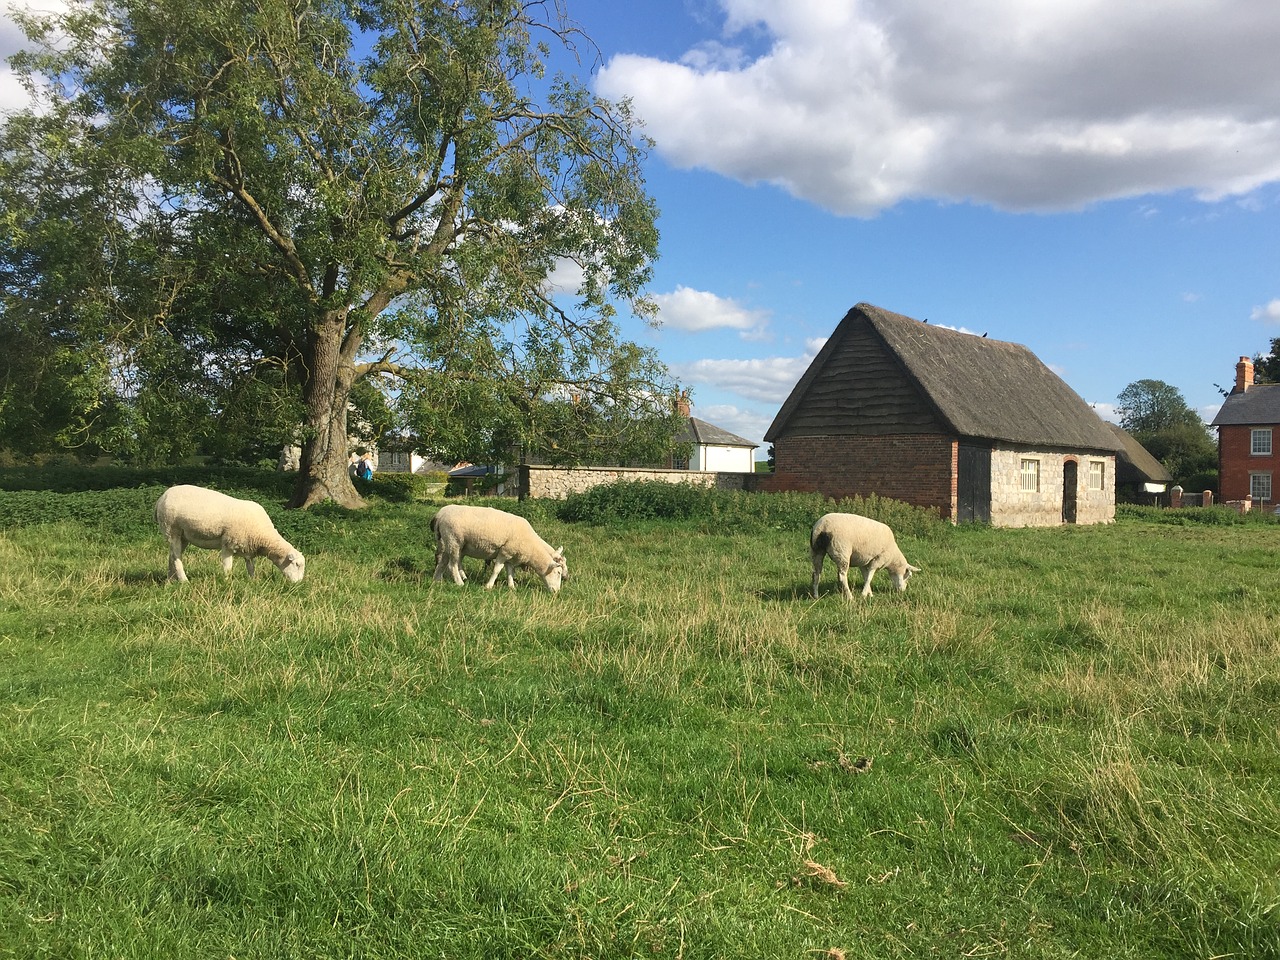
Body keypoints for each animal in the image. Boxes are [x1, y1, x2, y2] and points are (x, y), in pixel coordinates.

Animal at [152, 483, 304, 583]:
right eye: (297, 565)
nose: (298, 585)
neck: (264, 536)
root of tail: (161, 498)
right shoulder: (228, 543)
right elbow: (227, 567)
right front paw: (226, 582)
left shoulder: (247, 547)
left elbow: (250, 567)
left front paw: (253, 581)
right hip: (172, 529)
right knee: (176, 557)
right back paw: (184, 581)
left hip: (183, 536)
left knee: (172, 556)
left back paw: (170, 580)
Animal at [432, 504, 568, 593]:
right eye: (558, 572)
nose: (557, 592)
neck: (531, 548)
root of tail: (440, 515)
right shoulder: (504, 552)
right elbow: (497, 570)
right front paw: (488, 586)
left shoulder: (510, 556)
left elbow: (510, 572)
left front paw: (512, 586)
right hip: (455, 541)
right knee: (452, 565)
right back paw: (460, 582)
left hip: (447, 542)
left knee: (442, 562)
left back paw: (437, 580)